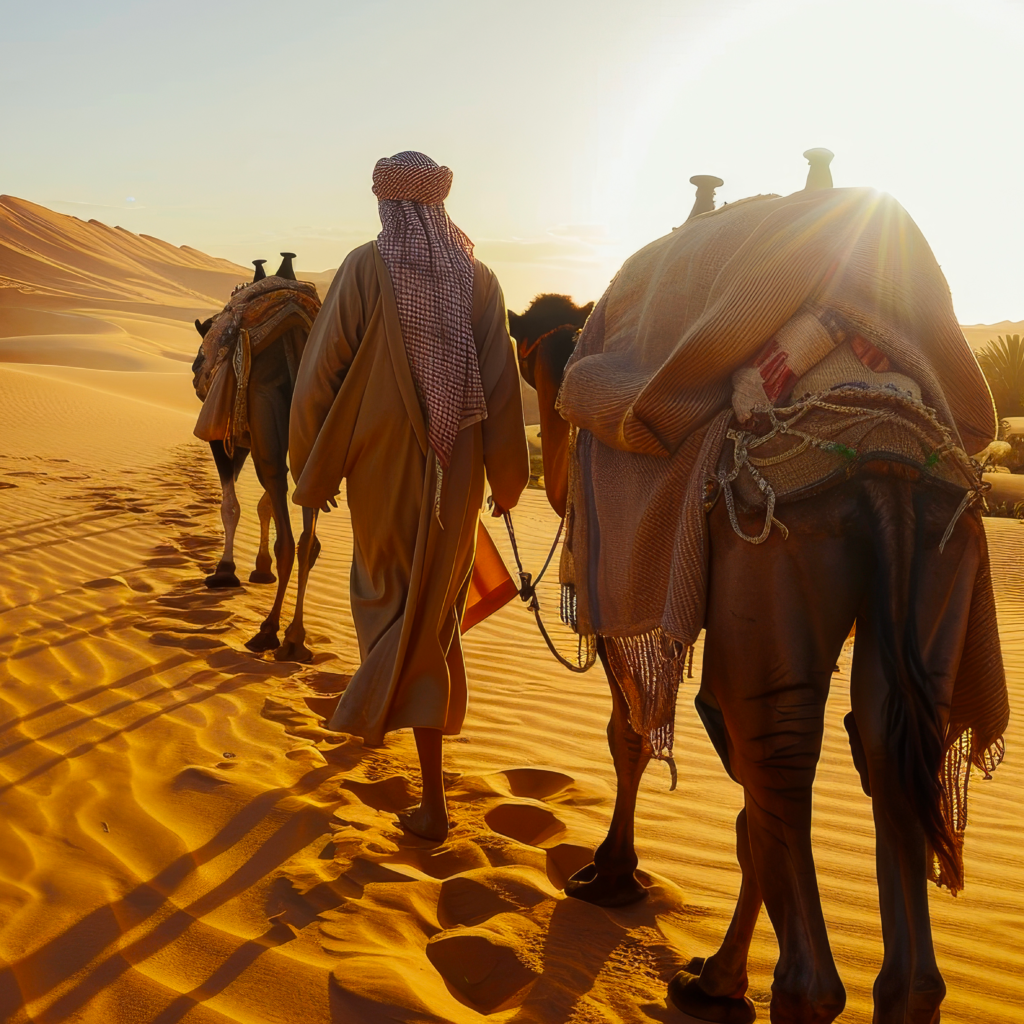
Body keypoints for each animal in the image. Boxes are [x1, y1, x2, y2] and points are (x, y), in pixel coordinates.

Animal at [524, 163, 1003, 1019]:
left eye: (541, 365)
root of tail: (884, 442)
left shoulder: (626, 592)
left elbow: (631, 733)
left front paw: (611, 876)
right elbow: (746, 814)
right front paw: (720, 974)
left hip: (776, 552)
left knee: (775, 750)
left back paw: (766, 985)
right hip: (943, 553)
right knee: (879, 746)